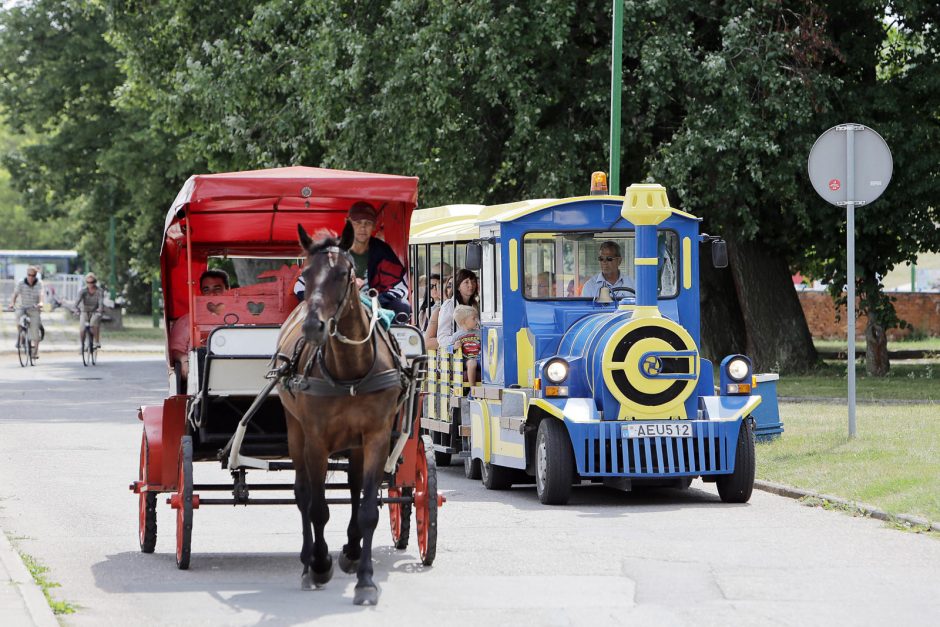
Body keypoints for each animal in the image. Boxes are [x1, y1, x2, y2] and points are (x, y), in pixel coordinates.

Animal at [274, 223, 402, 604]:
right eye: (305, 274)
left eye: (344, 274)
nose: (312, 327)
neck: (350, 371)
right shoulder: (315, 440)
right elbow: (317, 506)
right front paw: (319, 564)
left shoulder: (376, 437)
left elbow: (367, 508)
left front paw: (365, 579)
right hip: (295, 431)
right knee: (303, 494)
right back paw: (308, 562)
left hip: (356, 445)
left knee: (355, 487)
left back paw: (351, 550)